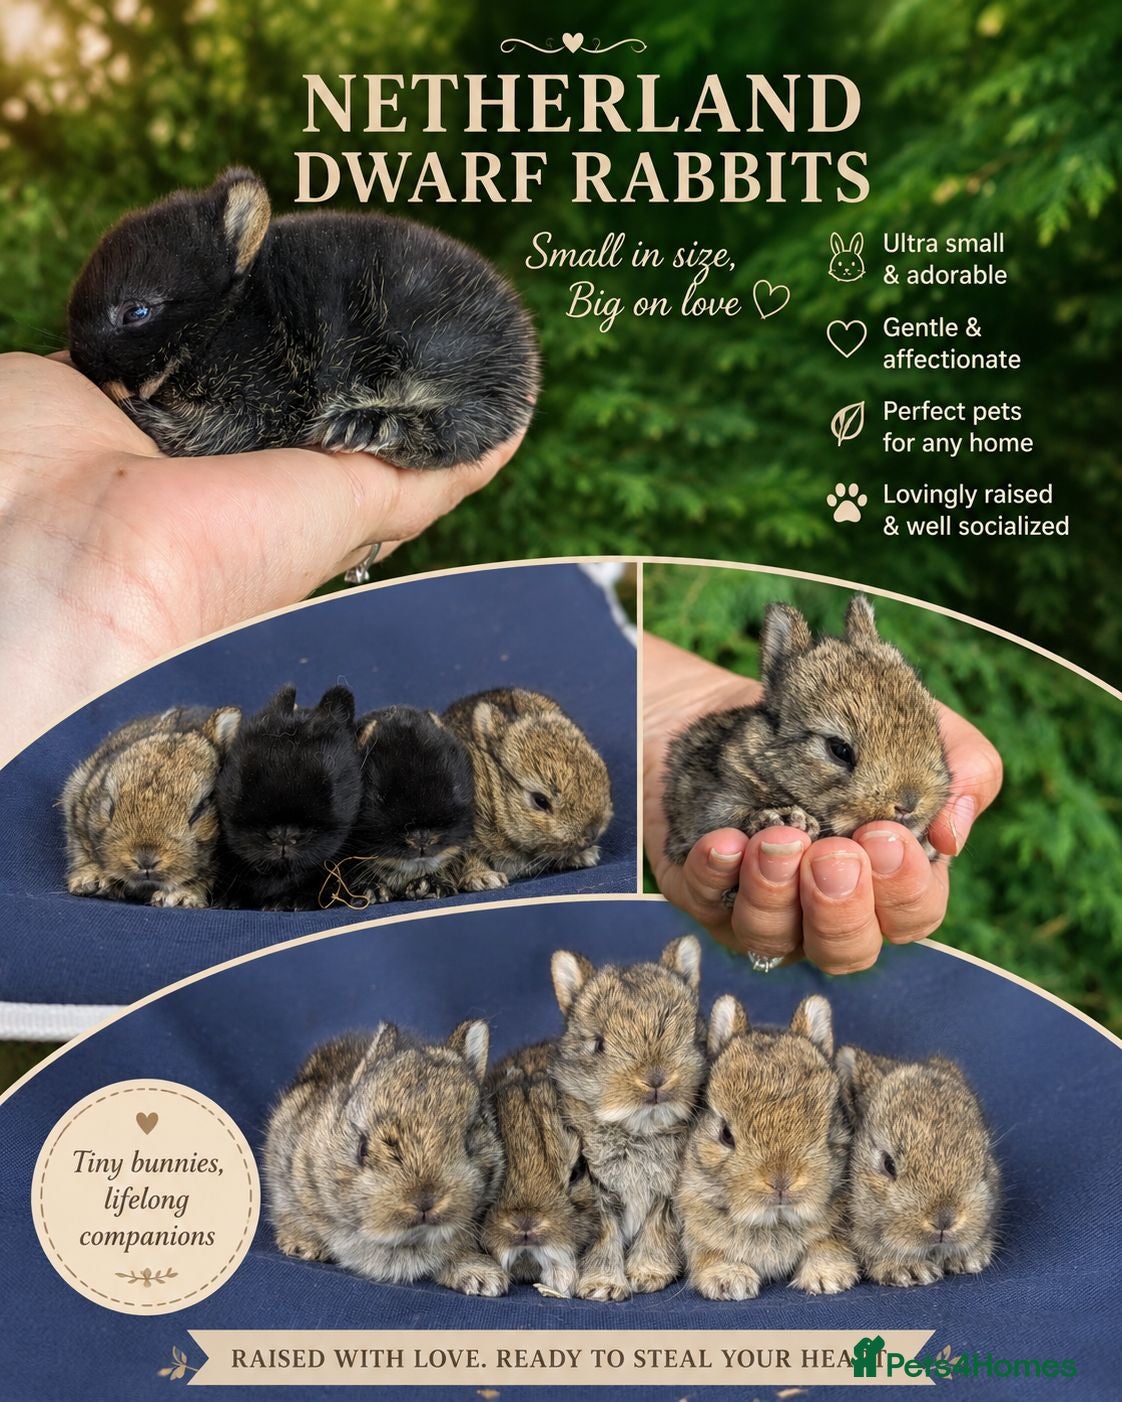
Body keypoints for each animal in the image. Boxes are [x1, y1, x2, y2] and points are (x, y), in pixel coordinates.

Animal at [67, 168, 539, 472]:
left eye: (136, 312)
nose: (80, 359)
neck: (224, 317)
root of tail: (524, 356)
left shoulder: (267, 397)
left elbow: (217, 432)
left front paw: (139, 410)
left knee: (455, 431)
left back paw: (364, 425)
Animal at [550, 936, 706, 1300]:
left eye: (692, 1036)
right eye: (598, 1044)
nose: (656, 1079)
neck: (638, 1130)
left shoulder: (664, 1199)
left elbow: (654, 1230)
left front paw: (648, 1276)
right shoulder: (598, 1197)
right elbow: (604, 1239)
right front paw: (602, 1286)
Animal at [676, 993, 857, 1301]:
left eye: (830, 1125)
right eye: (725, 1135)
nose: (781, 1181)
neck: (774, 1220)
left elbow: (826, 1244)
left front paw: (828, 1276)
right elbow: (709, 1251)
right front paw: (730, 1280)